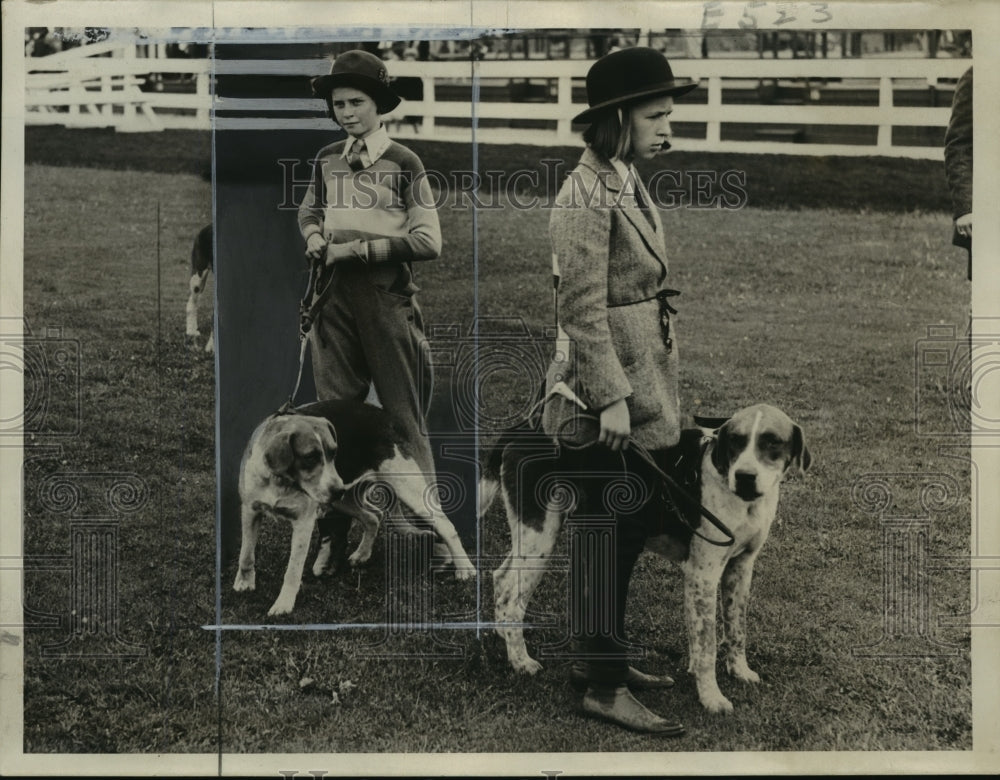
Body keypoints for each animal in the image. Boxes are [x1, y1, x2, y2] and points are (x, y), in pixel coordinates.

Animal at [234, 402, 476, 616]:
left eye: (334, 453)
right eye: (310, 457)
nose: (337, 489)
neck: (280, 480)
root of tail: (381, 413)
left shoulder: (303, 522)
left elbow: (292, 570)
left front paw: (283, 604)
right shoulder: (249, 512)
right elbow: (245, 554)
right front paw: (244, 582)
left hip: (406, 488)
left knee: (445, 526)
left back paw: (464, 567)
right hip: (343, 501)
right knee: (373, 517)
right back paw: (362, 553)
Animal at [486, 406, 812, 716]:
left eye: (772, 441)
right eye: (736, 440)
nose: (744, 476)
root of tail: (521, 430)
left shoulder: (740, 568)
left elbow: (735, 627)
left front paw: (739, 670)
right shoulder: (703, 574)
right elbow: (707, 643)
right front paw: (711, 697)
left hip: (530, 536)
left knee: (500, 578)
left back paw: (503, 633)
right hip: (541, 535)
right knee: (511, 596)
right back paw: (520, 660)